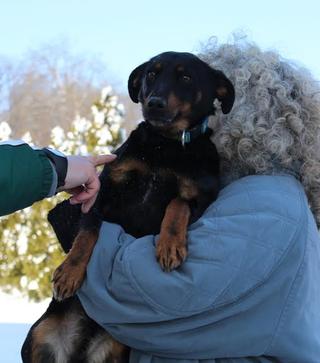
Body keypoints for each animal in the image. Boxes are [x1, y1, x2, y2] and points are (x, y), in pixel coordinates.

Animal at [20, 52, 235, 363]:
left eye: (186, 77)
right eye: (151, 75)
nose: (154, 103)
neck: (165, 145)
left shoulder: (201, 201)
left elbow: (177, 203)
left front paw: (170, 245)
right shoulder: (103, 191)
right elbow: (87, 233)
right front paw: (69, 272)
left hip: (117, 350)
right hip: (39, 335)